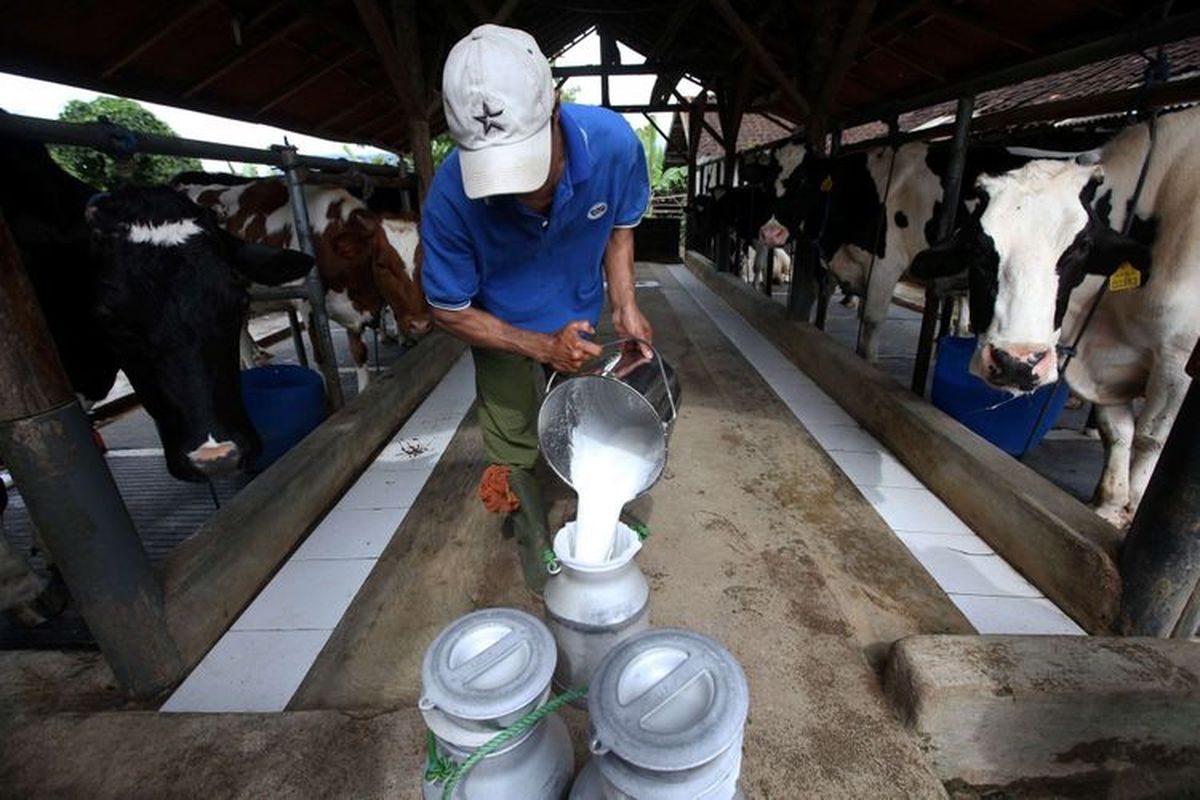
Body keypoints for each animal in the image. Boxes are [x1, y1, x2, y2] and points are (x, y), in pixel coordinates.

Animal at [912, 106, 1195, 527]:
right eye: (980, 247)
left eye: (1080, 248)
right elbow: (1116, 430)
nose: (1017, 362)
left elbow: (1150, 437)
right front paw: (1108, 506)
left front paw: (1131, 511)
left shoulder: (1178, 357)